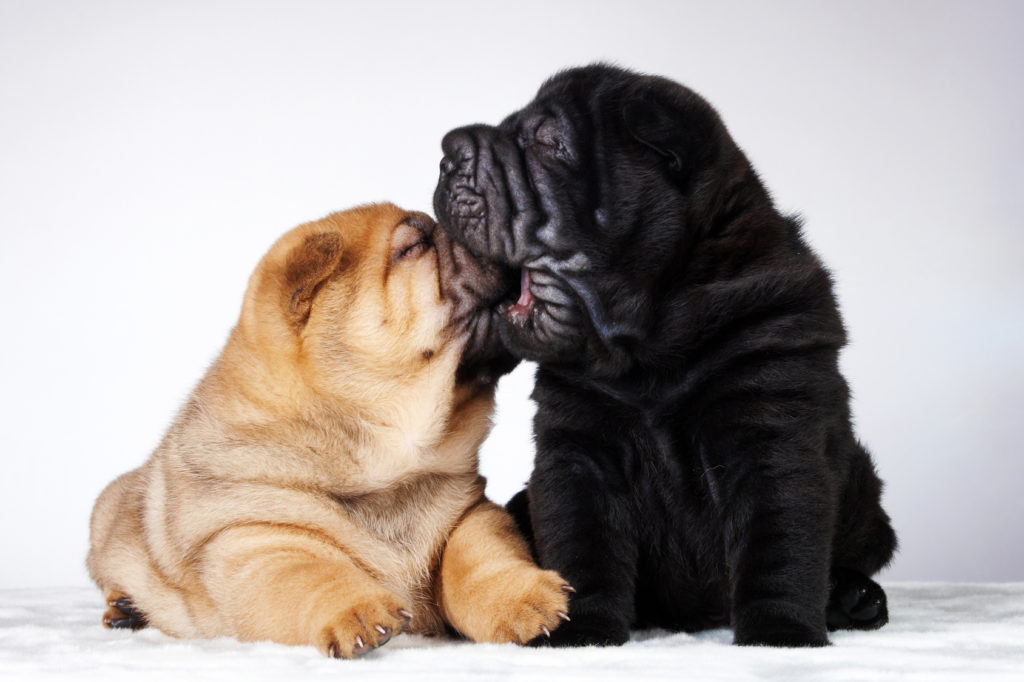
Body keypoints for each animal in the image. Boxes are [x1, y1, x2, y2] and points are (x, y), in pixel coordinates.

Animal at [432, 65, 897, 647]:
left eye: (548, 142)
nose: (446, 151)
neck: (648, 346)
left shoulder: (771, 432)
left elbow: (779, 549)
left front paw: (781, 634)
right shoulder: (579, 453)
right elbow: (581, 546)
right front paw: (578, 630)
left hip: (864, 490)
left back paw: (853, 598)